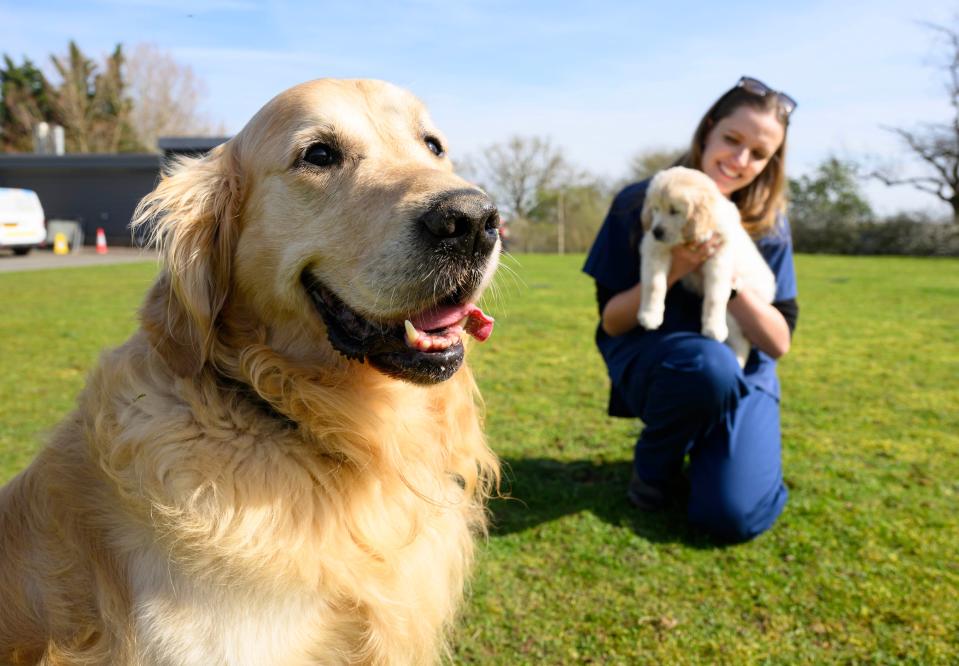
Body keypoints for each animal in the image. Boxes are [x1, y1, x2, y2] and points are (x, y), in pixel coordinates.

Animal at [636, 165, 780, 364]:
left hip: (735, 317)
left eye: (674, 211)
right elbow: (654, 284)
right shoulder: (654, 248)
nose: (656, 231)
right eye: (655, 208)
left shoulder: (719, 258)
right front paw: (650, 316)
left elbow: (715, 297)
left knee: (742, 343)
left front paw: (713, 329)